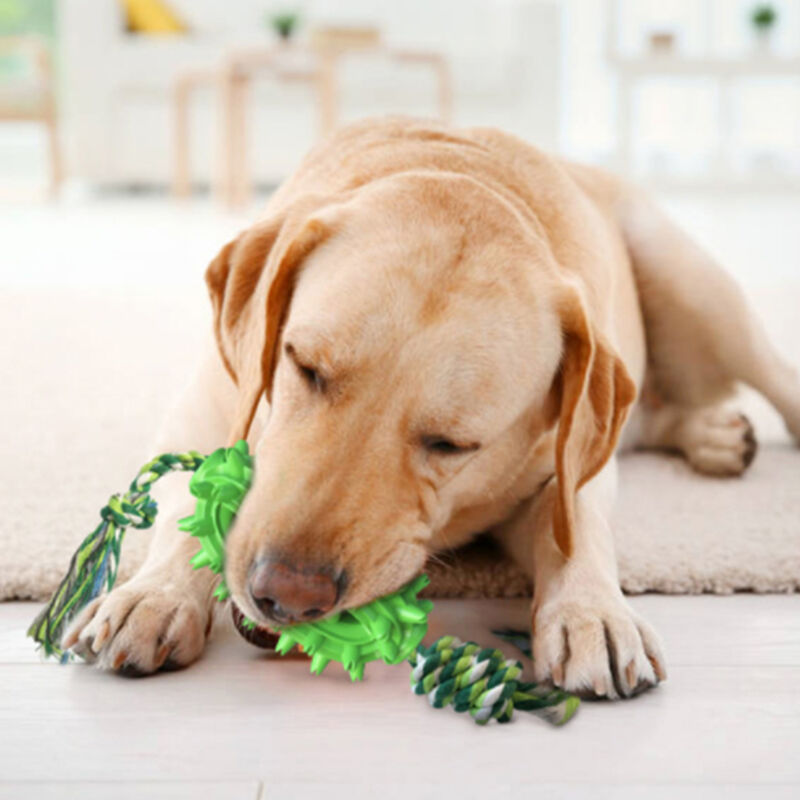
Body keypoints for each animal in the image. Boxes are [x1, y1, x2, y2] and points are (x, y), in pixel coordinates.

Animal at [64, 115, 800, 696]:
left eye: (452, 445)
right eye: (305, 367)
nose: (286, 596)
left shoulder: (564, 465)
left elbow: (576, 525)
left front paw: (592, 611)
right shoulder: (202, 411)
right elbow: (188, 504)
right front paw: (153, 596)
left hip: (696, 288)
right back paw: (712, 433)